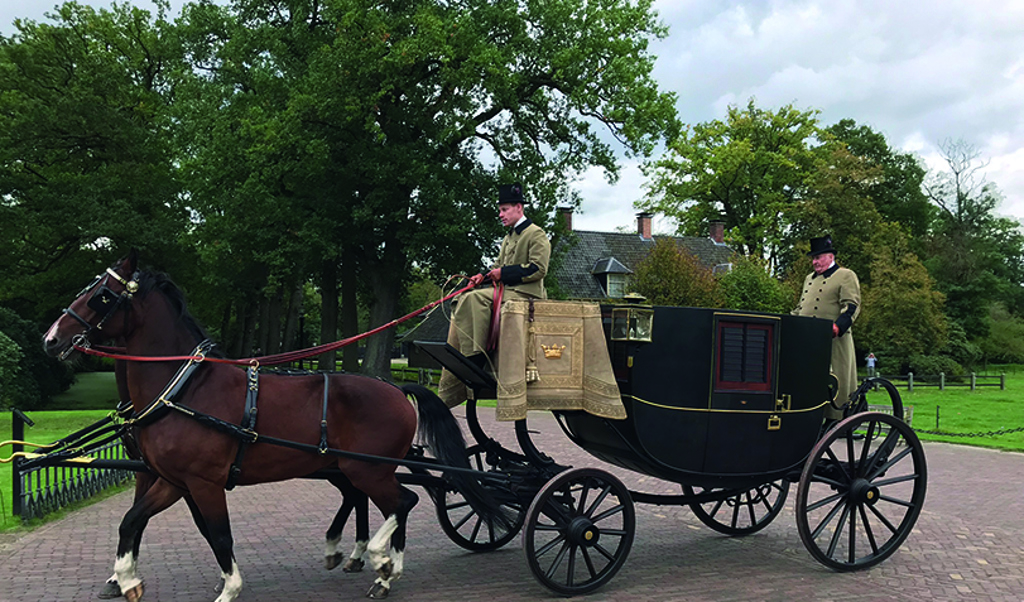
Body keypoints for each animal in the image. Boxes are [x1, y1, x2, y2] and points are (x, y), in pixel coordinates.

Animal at [44, 250, 499, 602]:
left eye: (101, 295)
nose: (51, 339)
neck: (185, 389)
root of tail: (393, 387)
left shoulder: (203, 482)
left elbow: (218, 534)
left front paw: (229, 587)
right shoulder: (171, 480)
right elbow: (133, 521)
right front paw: (126, 579)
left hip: (367, 468)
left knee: (403, 501)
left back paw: (380, 559)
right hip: (351, 468)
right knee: (382, 501)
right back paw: (375, 564)